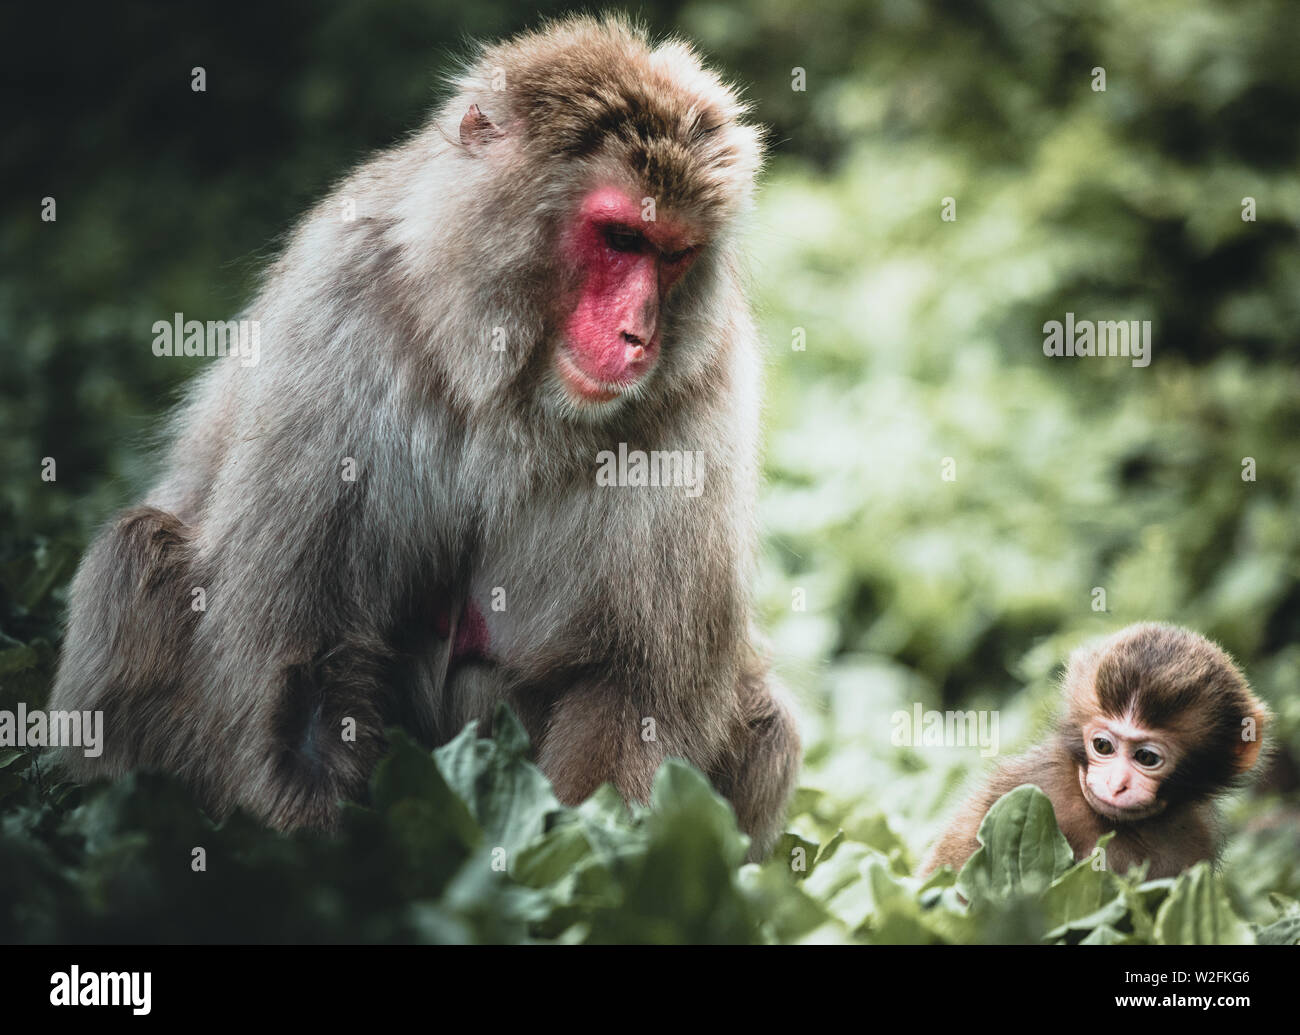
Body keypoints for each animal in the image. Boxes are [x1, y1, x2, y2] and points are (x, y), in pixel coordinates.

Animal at [47, 16, 800, 859]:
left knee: (767, 719)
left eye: (674, 253)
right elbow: (304, 664)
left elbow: (629, 690)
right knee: (136, 552)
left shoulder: (702, 390)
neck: (502, 380)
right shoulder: (337, 309)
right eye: (620, 237)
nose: (639, 336)